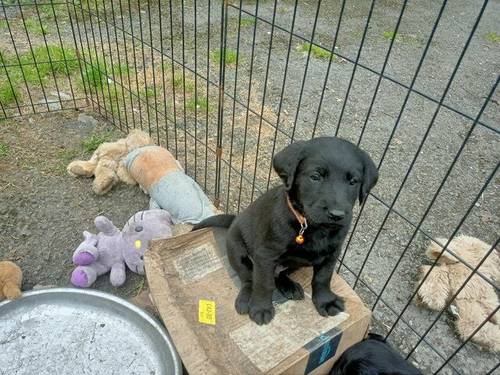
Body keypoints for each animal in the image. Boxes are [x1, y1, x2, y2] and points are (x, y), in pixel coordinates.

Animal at [193, 137, 376, 324]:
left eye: (353, 181)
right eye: (315, 177)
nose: (337, 215)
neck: (311, 226)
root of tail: (235, 219)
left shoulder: (332, 253)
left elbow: (323, 278)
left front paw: (326, 301)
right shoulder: (266, 255)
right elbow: (263, 283)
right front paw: (261, 308)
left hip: (297, 262)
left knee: (279, 274)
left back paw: (288, 286)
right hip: (237, 250)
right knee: (249, 278)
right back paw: (246, 299)